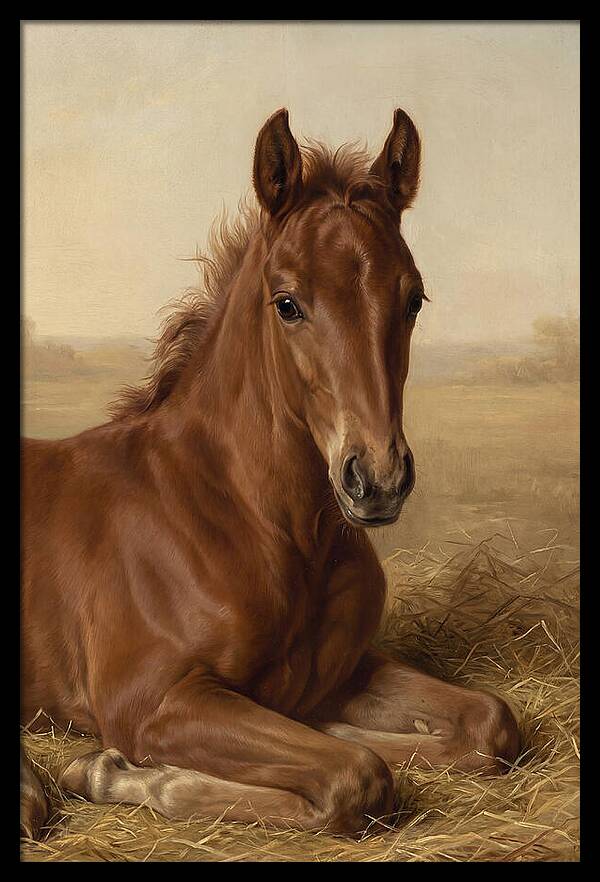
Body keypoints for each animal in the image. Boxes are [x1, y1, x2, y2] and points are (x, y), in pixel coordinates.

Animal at [21, 108, 520, 840]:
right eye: (287, 303)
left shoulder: (342, 671)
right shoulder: (151, 701)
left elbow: (488, 724)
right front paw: (115, 772)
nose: (377, 479)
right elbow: (356, 775)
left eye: (414, 298)